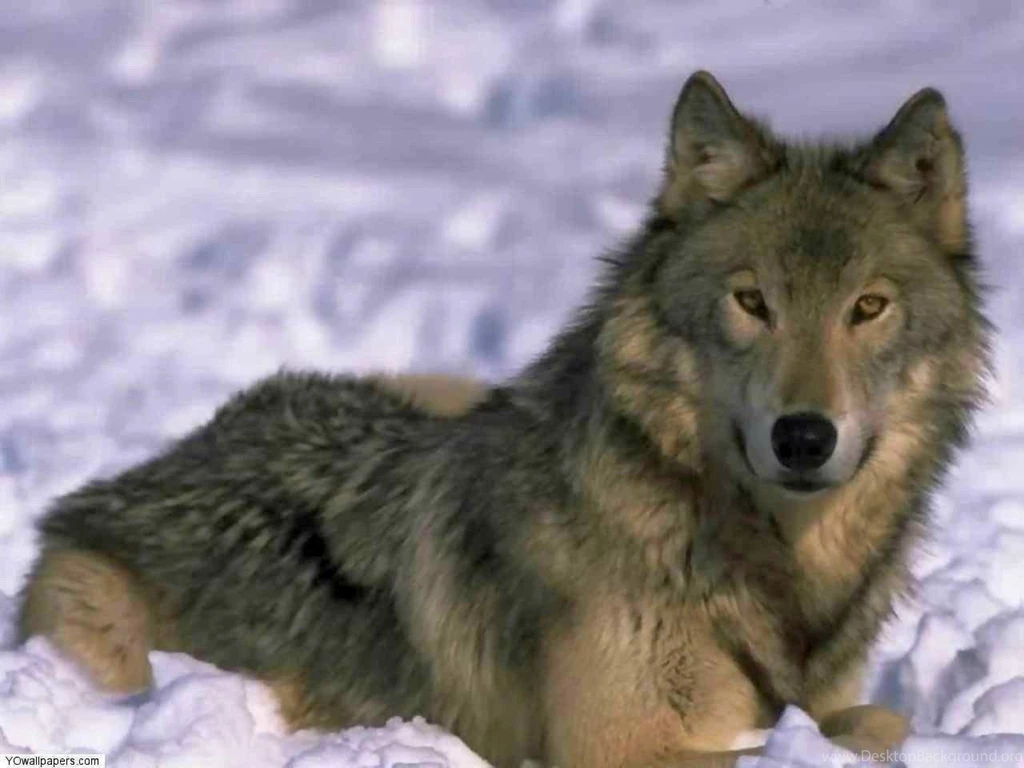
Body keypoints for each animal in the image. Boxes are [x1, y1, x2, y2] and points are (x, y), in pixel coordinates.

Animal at [18, 71, 989, 767]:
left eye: (868, 307)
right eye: (752, 302)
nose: (804, 437)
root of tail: (140, 473)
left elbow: (870, 718)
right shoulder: (624, 748)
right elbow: (869, 728)